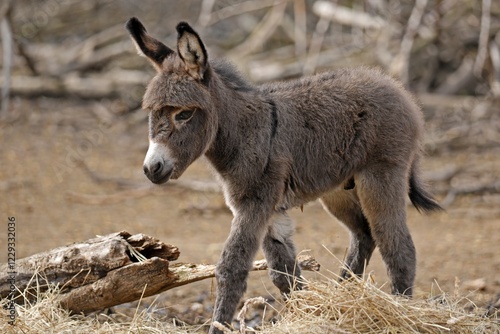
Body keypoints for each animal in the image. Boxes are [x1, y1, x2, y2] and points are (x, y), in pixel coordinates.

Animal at [125, 18, 442, 334]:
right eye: (152, 113)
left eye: (184, 114)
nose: (151, 168)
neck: (244, 131)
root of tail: (397, 88)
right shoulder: (268, 208)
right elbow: (284, 273)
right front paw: (305, 313)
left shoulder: (255, 203)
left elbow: (231, 268)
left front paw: (219, 327)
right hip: (339, 190)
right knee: (364, 235)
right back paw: (342, 298)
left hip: (381, 175)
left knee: (397, 245)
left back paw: (401, 311)